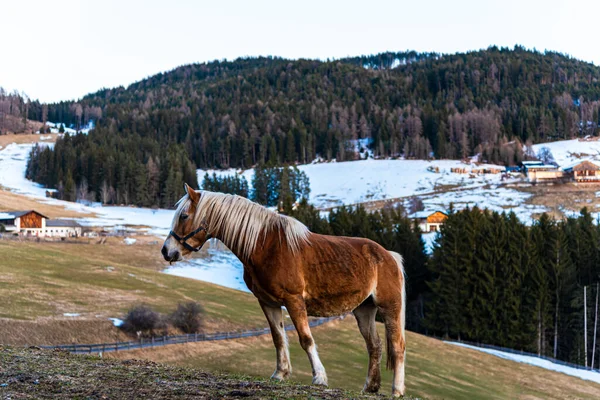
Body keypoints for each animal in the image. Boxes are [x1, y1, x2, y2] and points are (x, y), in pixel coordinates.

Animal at [163, 185, 408, 396]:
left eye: (184, 216)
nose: (167, 251)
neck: (265, 245)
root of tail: (388, 256)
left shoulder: (294, 300)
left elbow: (305, 339)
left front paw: (319, 377)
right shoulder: (268, 302)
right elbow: (278, 338)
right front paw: (280, 373)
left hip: (389, 307)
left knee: (397, 346)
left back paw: (397, 390)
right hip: (364, 310)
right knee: (374, 346)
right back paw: (370, 387)